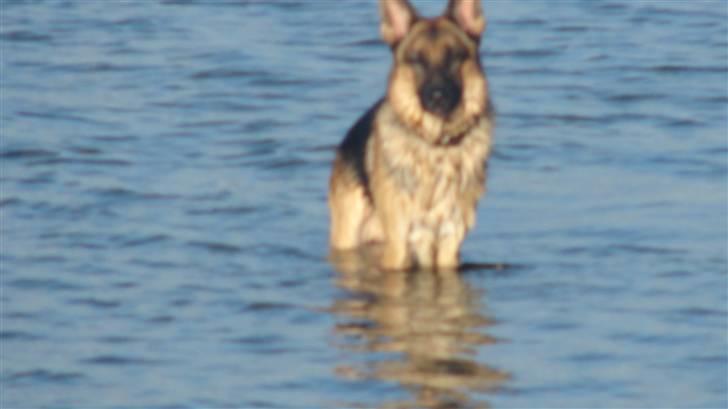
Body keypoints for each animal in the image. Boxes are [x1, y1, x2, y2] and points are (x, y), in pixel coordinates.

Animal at [330, 0, 494, 270]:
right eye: (417, 60)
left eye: (454, 58)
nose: (438, 97)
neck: (436, 144)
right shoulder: (399, 245)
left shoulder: (449, 241)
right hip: (349, 234)